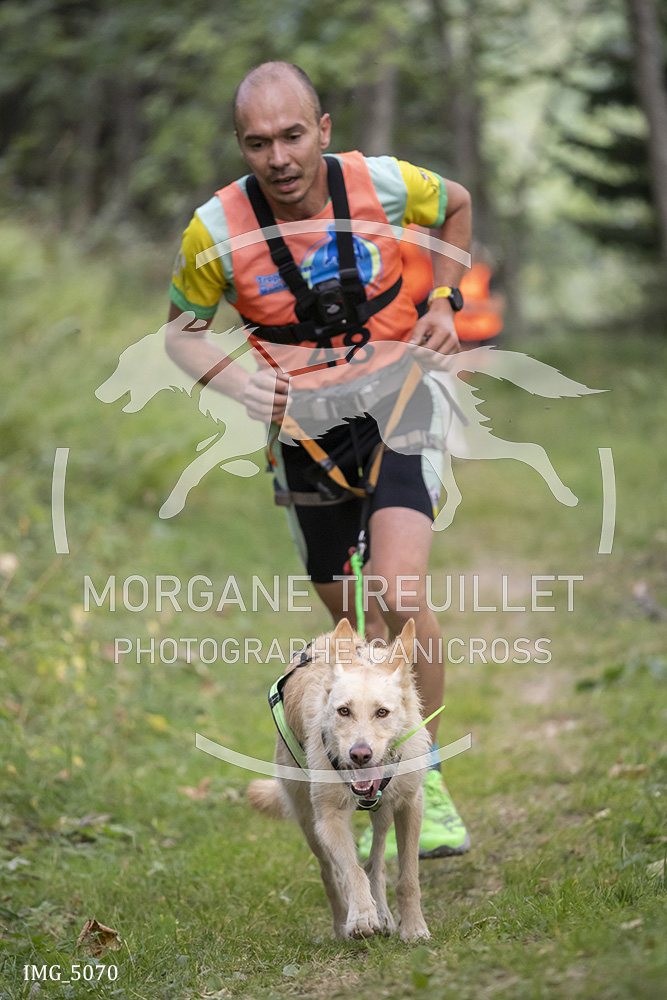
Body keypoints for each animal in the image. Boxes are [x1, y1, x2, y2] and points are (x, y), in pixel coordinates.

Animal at [247, 617, 431, 941]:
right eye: (343, 711)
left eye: (382, 712)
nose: (360, 755)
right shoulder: (329, 818)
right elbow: (350, 871)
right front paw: (360, 918)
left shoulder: (410, 804)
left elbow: (407, 876)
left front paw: (413, 926)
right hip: (308, 820)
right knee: (330, 872)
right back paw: (342, 922)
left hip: (383, 811)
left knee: (375, 860)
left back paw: (383, 912)